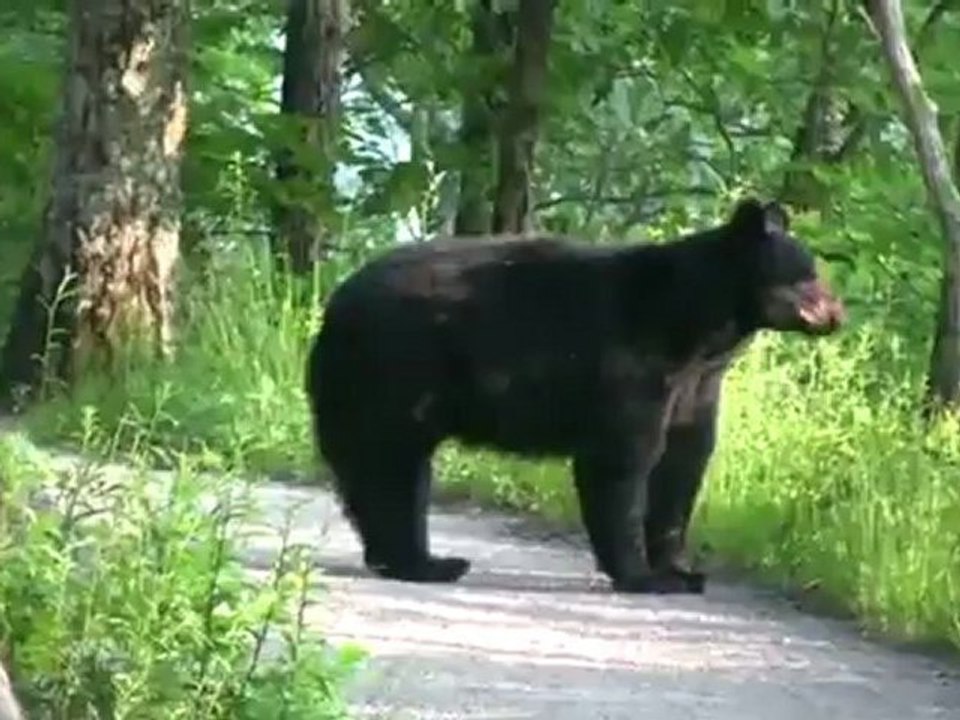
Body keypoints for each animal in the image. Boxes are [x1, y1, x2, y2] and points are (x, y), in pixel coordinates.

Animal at [304, 197, 845, 594]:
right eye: (808, 274)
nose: (838, 313)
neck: (699, 331)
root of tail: (335, 306)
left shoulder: (696, 387)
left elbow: (683, 464)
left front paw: (680, 569)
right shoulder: (634, 365)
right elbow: (623, 461)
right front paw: (642, 575)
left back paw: (420, 559)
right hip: (395, 376)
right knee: (391, 469)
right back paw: (424, 562)